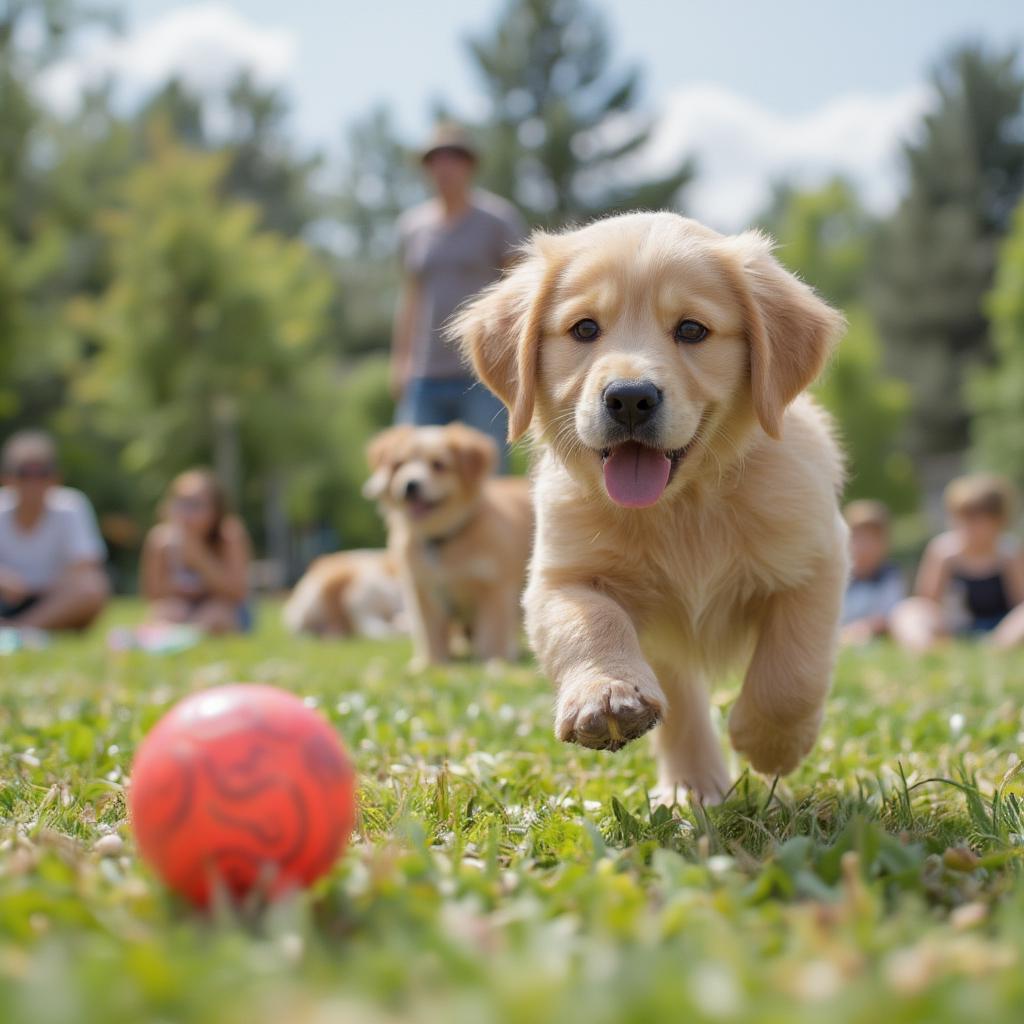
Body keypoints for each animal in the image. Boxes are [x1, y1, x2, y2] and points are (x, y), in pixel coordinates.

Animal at [362, 421, 536, 667]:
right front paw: (430, 664)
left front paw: (493, 662)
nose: (410, 485)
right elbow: (430, 634)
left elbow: (492, 635)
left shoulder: (494, 588)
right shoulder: (422, 590)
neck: (442, 540)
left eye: (439, 465)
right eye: (399, 464)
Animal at [454, 211, 847, 802]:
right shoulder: (560, 577)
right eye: (584, 329)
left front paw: (770, 743)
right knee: (681, 700)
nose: (629, 398)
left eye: (692, 330)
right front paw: (605, 695)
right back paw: (693, 785)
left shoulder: (818, 558)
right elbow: (590, 624)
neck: (683, 506)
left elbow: (791, 670)